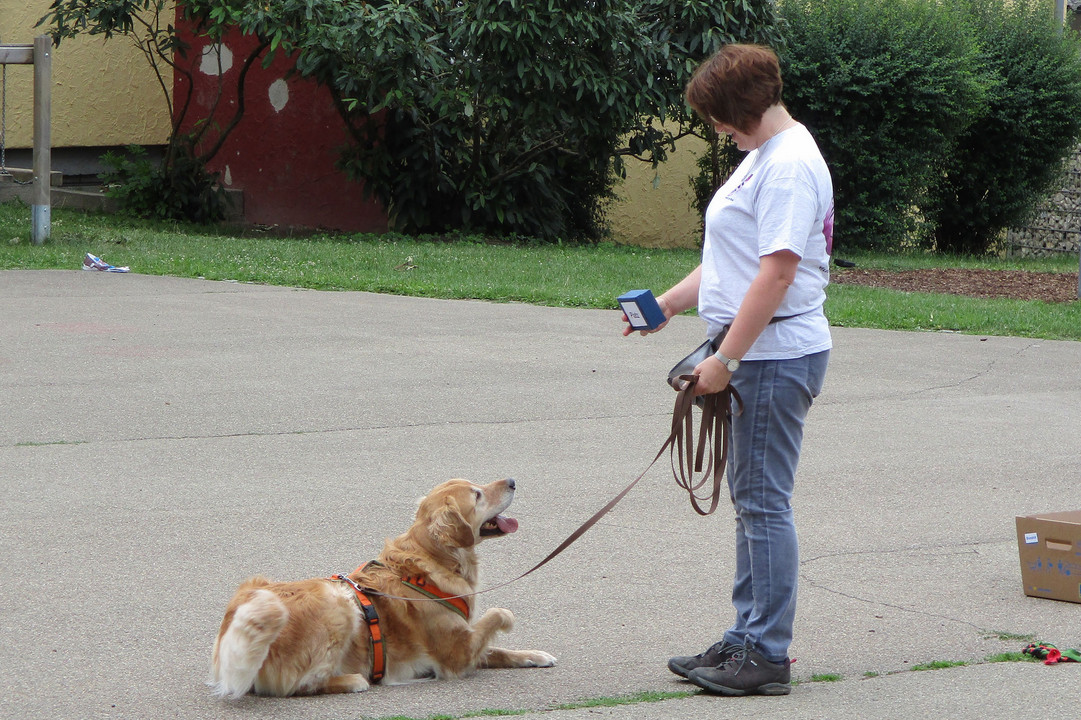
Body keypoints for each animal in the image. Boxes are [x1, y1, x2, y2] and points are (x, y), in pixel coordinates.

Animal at [208, 478, 556, 697]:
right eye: (477, 495)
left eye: (479, 486)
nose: (512, 480)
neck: (431, 563)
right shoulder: (457, 654)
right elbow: (499, 614)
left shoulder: (466, 642)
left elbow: (498, 649)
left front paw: (534, 655)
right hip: (339, 605)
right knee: (297, 685)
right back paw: (353, 680)